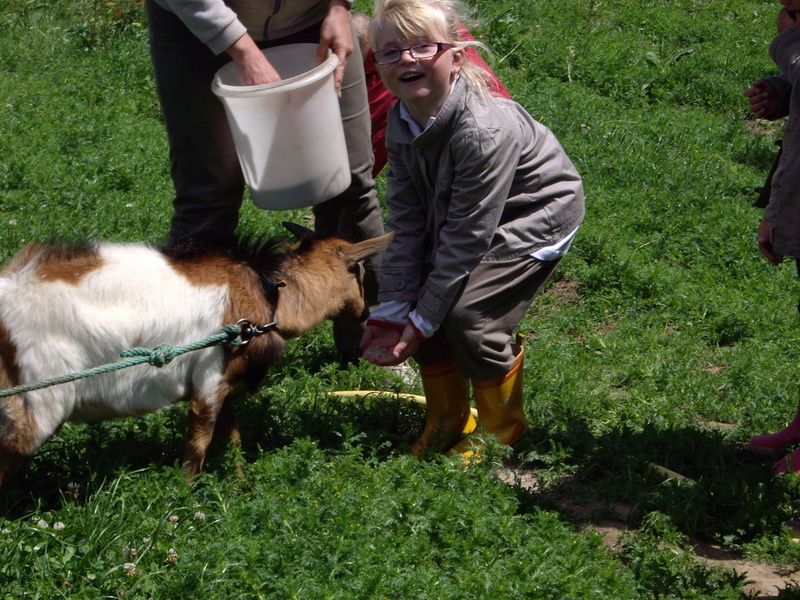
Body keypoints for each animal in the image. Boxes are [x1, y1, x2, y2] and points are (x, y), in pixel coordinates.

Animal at [0, 223, 394, 486]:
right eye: (359, 271)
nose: (366, 312)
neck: (271, 292)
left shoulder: (224, 384)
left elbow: (232, 436)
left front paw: (239, 483)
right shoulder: (207, 381)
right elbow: (198, 445)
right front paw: (185, 497)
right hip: (43, 400)